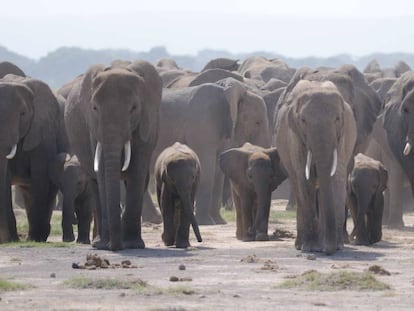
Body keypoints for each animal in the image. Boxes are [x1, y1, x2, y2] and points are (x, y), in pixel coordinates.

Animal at [64, 60, 162, 251]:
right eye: (95, 107)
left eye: (134, 108)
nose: (115, 247)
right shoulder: (94, 128)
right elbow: (102, 171)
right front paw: (109, 245)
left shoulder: (148, 122)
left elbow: (137, 170)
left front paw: (133, 245)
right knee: (95, 183)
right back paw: (99, 243)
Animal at [274, 79, 356, 255]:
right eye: (303, 121)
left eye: (337, 119)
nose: (329, 250)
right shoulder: (296, 138)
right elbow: (305, 181)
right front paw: (311, 248)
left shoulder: (342, 137)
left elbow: (336, 178)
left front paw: (336, 246)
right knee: (297, 185)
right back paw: (301, 245)